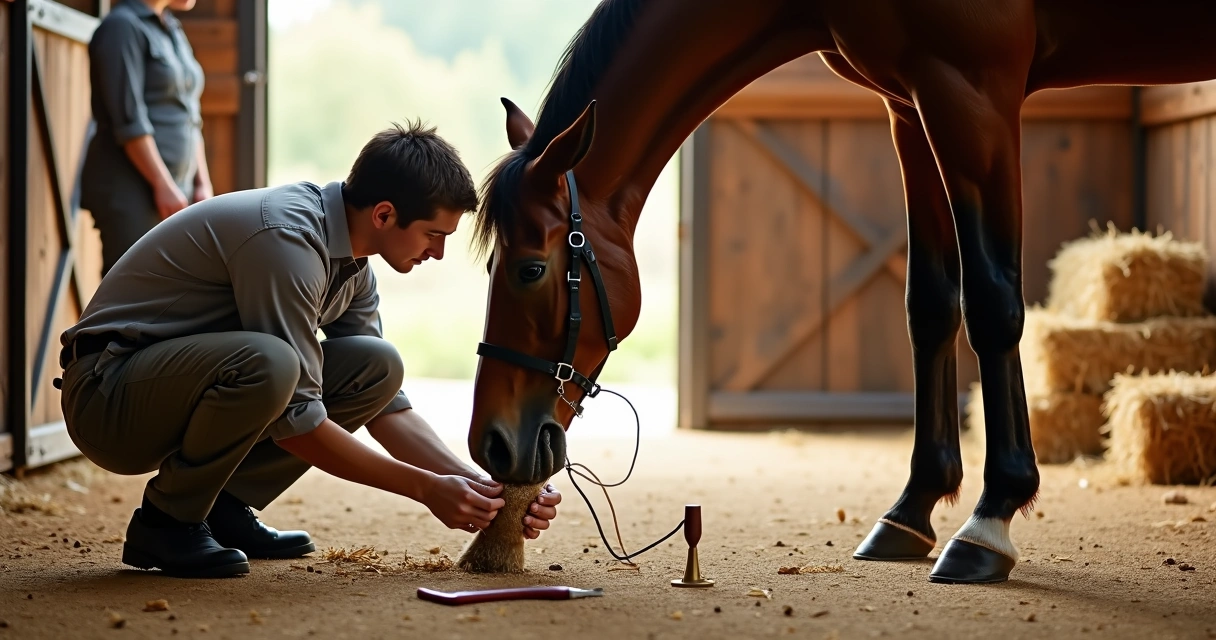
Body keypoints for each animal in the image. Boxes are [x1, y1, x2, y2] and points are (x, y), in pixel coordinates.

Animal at [464, 0, 1216, 584]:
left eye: (530, 269)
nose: (491, 445)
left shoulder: (975, 93)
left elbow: (992, 301)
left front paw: (990, 519)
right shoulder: (913, 105)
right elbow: (930, 304)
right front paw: (912, 510)